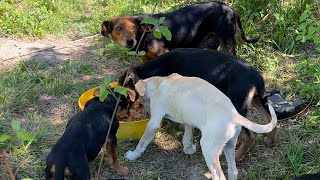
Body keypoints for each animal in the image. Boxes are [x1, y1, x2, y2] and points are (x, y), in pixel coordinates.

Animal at [101, 0, 258, 61]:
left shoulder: (163, 54)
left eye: (134, 27)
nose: (130, 41)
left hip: (227, 42)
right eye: (118, 28)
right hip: (208, 44)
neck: (142, 35)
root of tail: (229, 9)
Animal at [125, 73, 278, 179]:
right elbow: (187, 135)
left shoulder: (154, 122)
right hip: (229, 145)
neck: (161, 82)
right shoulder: (187, 119)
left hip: (209, 148)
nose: (145, 114)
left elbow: (142, 142)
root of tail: (235, 115)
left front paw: (133, 155)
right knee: (233, 171)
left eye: (140, 99)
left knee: (219, 176)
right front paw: (189, 149)